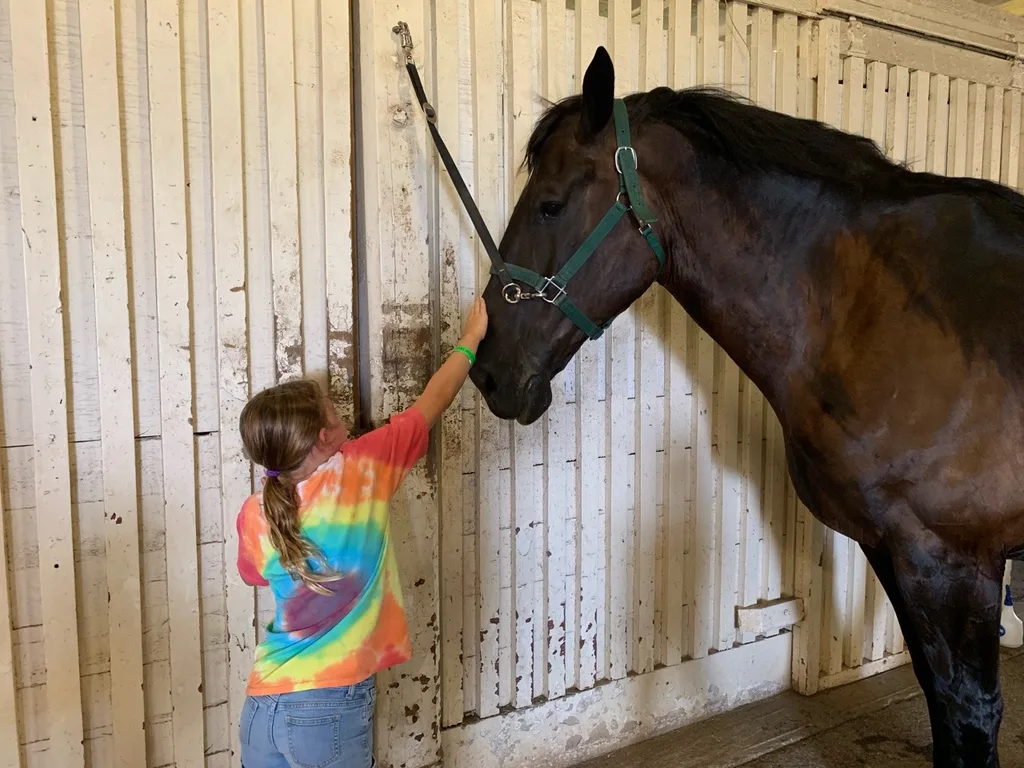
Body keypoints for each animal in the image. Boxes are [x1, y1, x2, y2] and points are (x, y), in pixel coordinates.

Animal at [467, 46, 1024, 768]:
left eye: (550, 205)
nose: (488, 372)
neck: (877, 307)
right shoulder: (895, 552)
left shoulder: (951, 564)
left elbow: (968, 719)